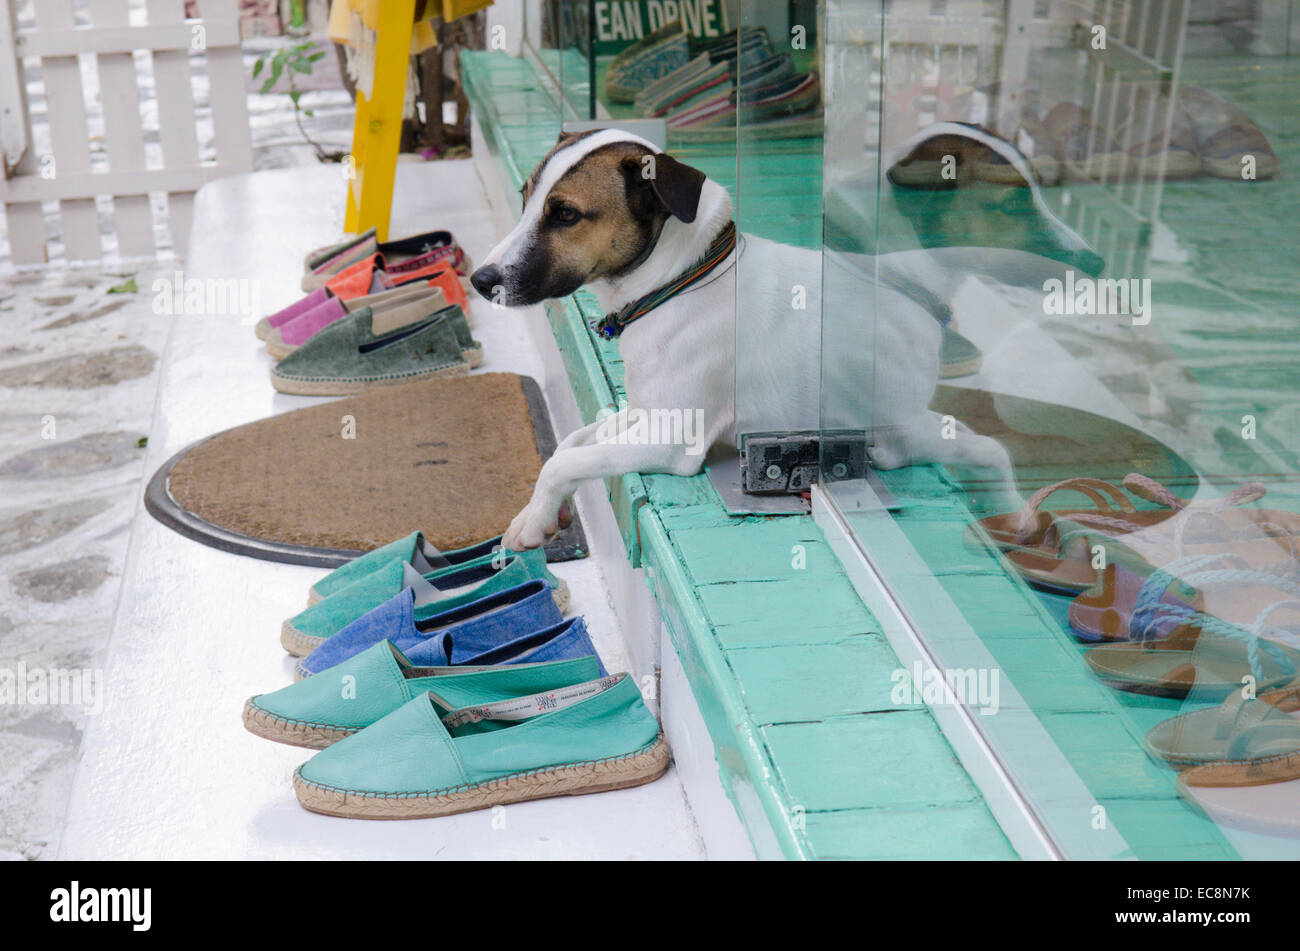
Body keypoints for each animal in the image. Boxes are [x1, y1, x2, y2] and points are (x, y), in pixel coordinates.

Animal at [473, 124, 1102, 550]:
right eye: (529, 200)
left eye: (565, 214)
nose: (480, 281)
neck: (678, 281)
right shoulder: (651, 415)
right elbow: (569, 449)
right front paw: (539, 516)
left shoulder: (672, 437)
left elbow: (993, 450)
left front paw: (1016, 514)